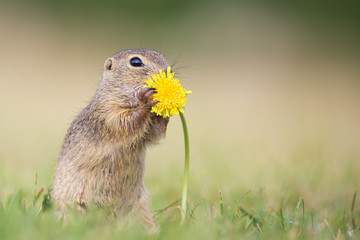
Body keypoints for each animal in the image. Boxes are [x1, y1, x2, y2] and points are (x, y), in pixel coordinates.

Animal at [51, 49, 171, 227]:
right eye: (136, 62)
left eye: (162, 56)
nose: (168, 72)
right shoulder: (108, 113)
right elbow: (125, 121)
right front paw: (147, 99)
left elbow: (154, 133)